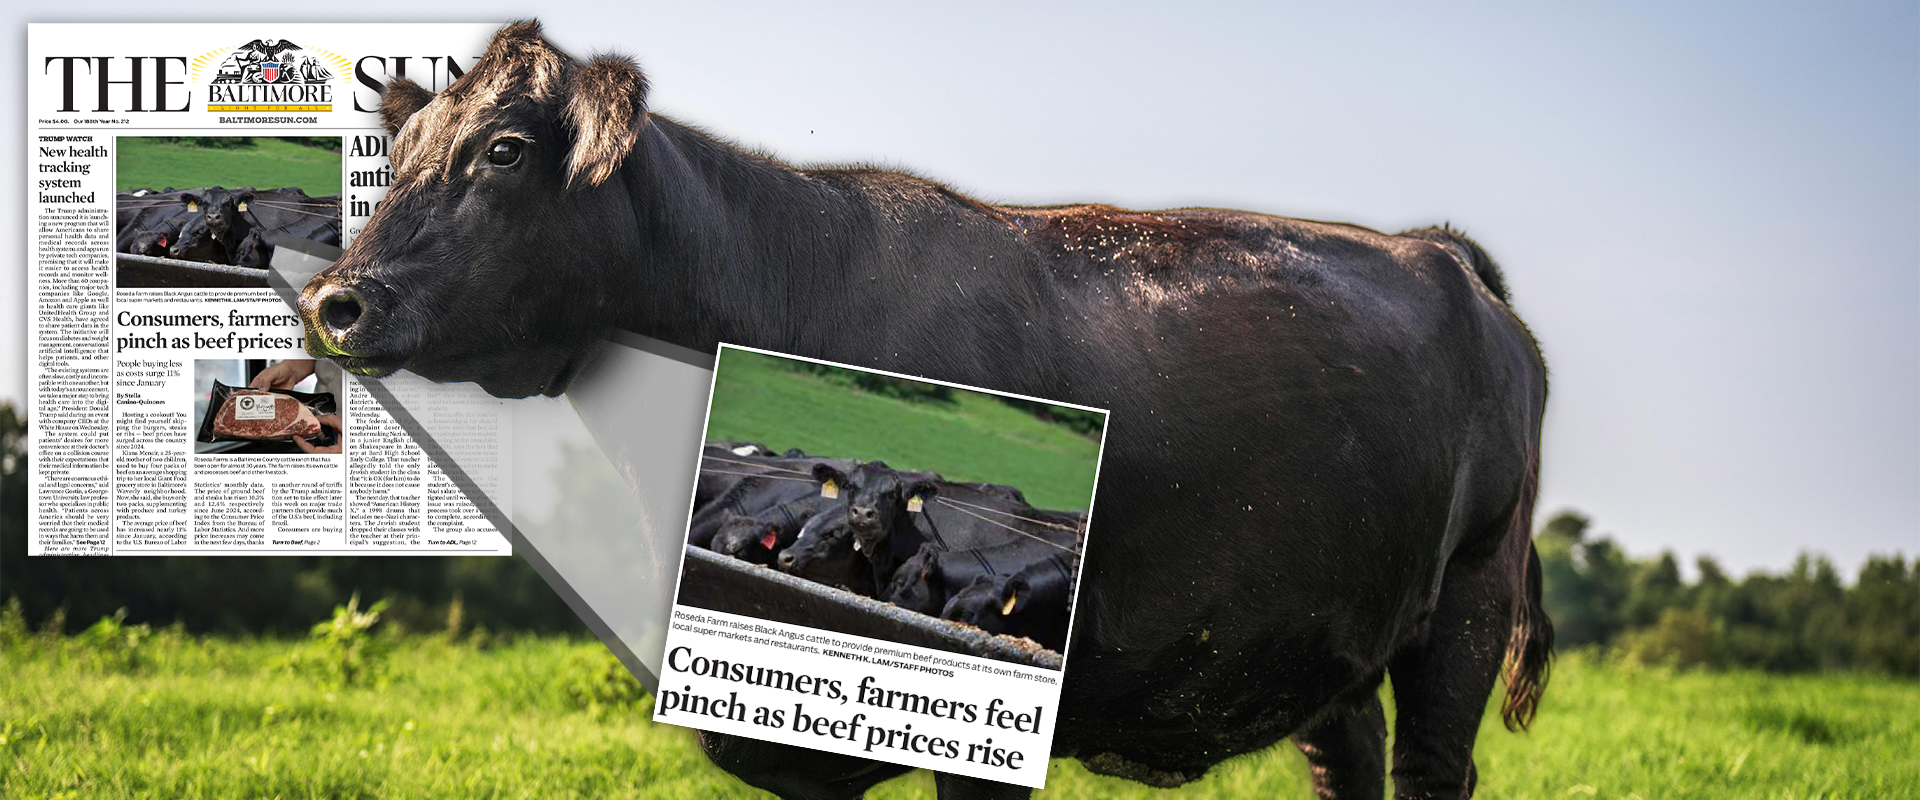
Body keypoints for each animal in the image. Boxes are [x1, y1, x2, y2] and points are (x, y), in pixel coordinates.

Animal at [297, 21, 1552, 800]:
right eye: (400, 150)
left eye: (505, 150)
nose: (333, 299)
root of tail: (1435, 247)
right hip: (1333, 632)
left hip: (1468, 601)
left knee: (1433, 765)